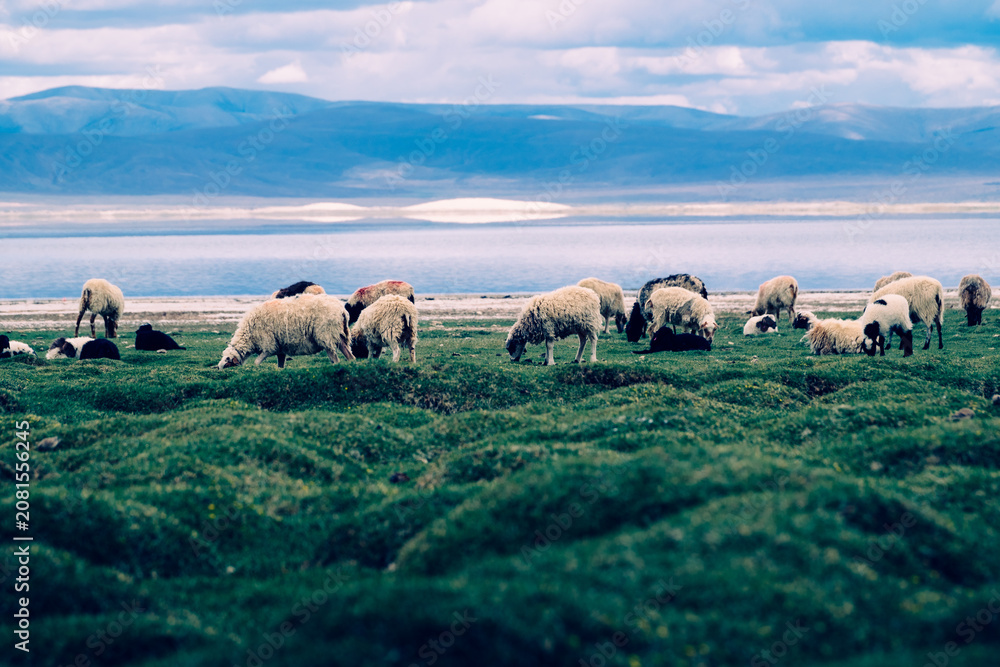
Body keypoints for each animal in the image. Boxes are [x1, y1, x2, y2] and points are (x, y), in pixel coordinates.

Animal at [218, 294, 354, 369]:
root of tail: (342, 310)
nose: (218, 369)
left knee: (336, 359)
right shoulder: (280, 348)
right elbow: (280, 365)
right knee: (349, 355)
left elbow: (256, 362)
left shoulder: (269, 344)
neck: (249, 336)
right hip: (338, 334)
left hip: (326, 334)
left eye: (227, 362)